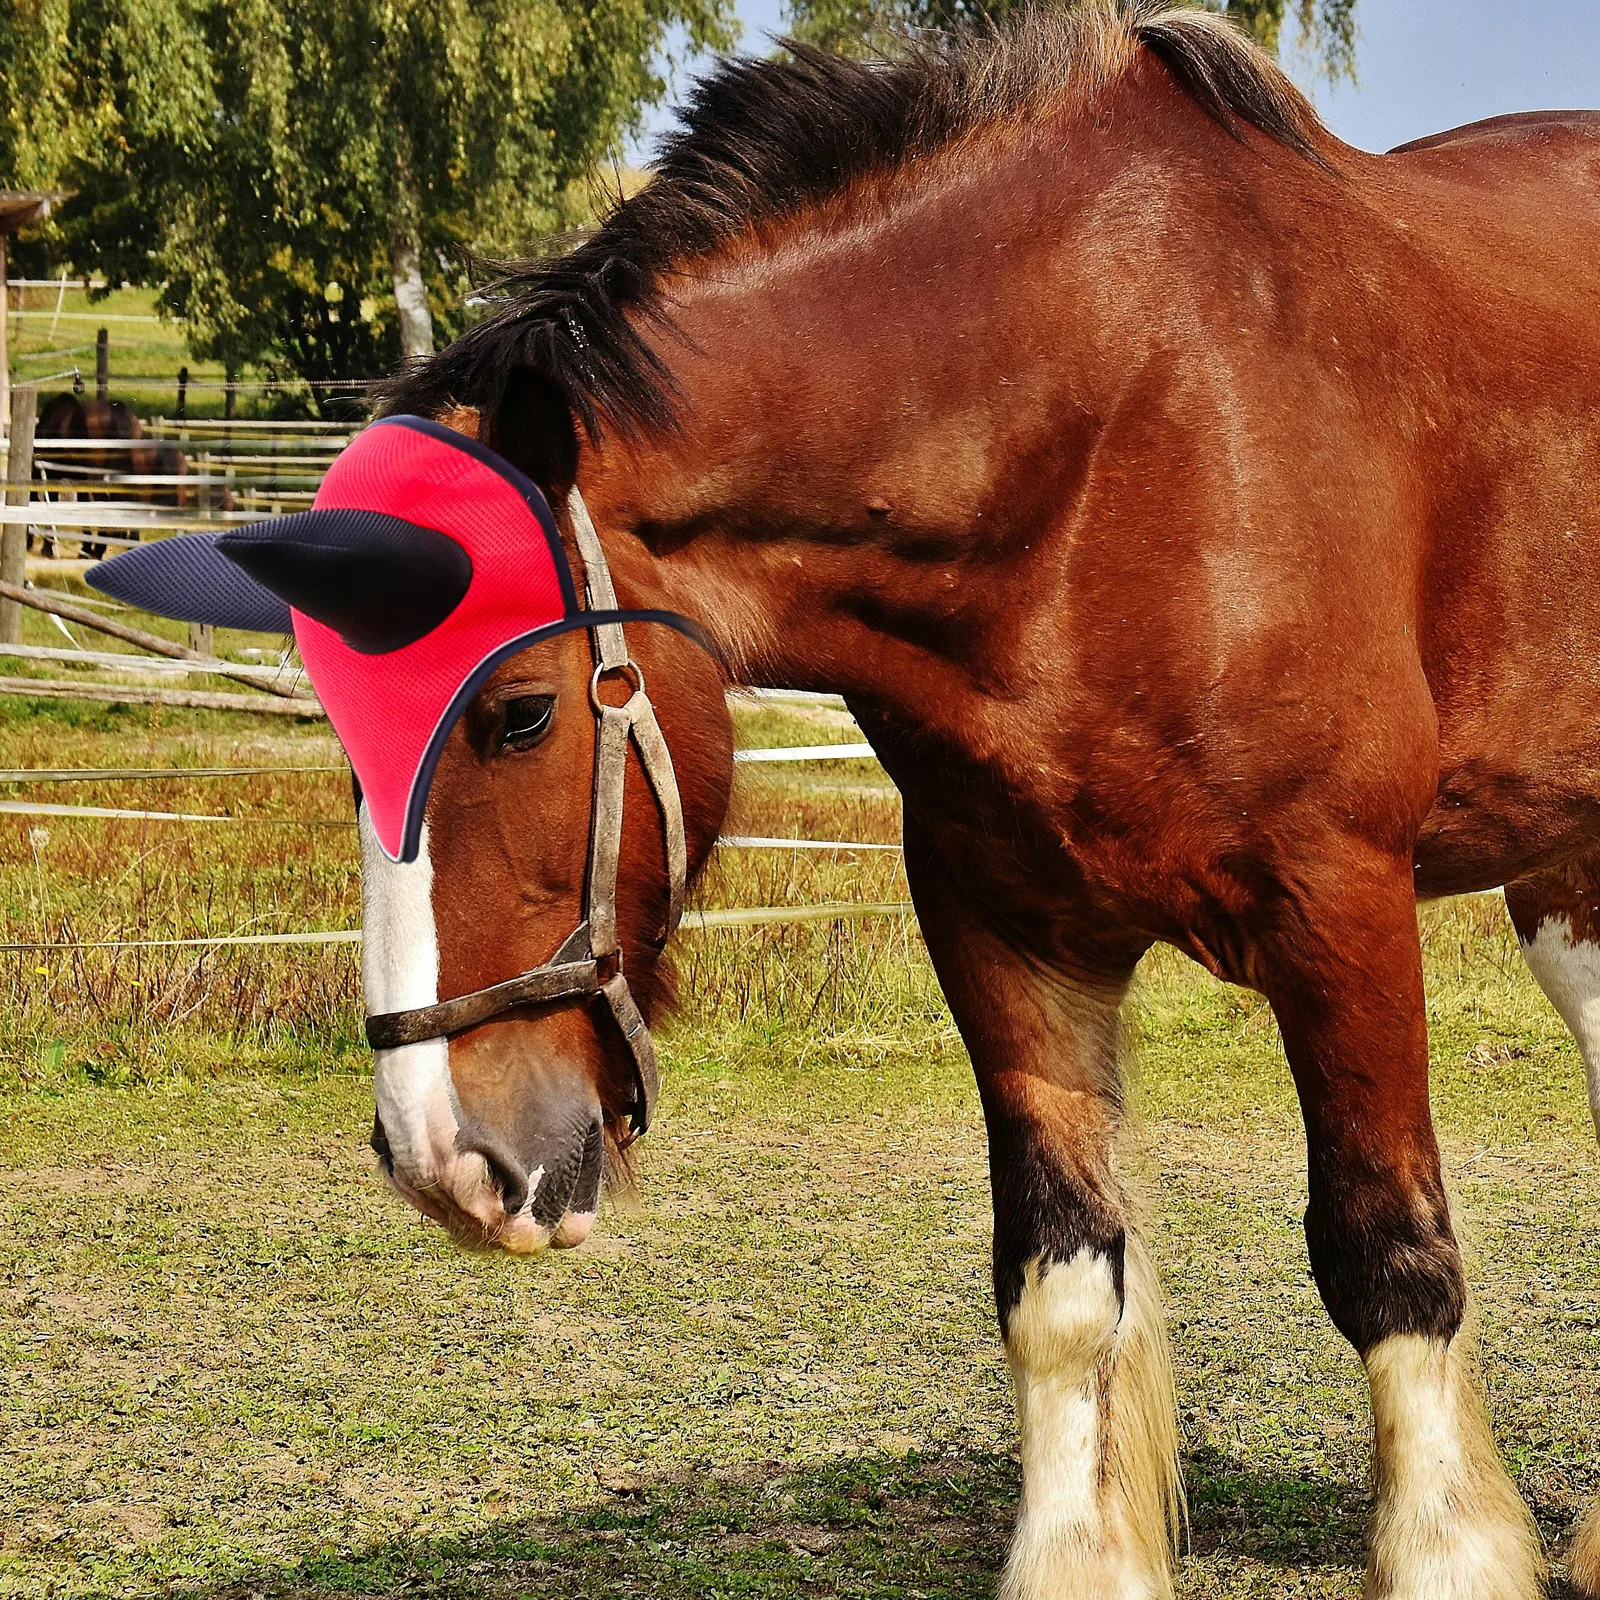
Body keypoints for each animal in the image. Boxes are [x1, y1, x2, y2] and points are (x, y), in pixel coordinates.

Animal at [276, 4, 1600, 1594]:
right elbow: (1060, 1278)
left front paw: (1450, 1550)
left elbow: (1387, 1255)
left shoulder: (1339, 904)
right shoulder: (1000, 926)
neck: (1117, 432)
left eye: (517, 711)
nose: (439, 1159)